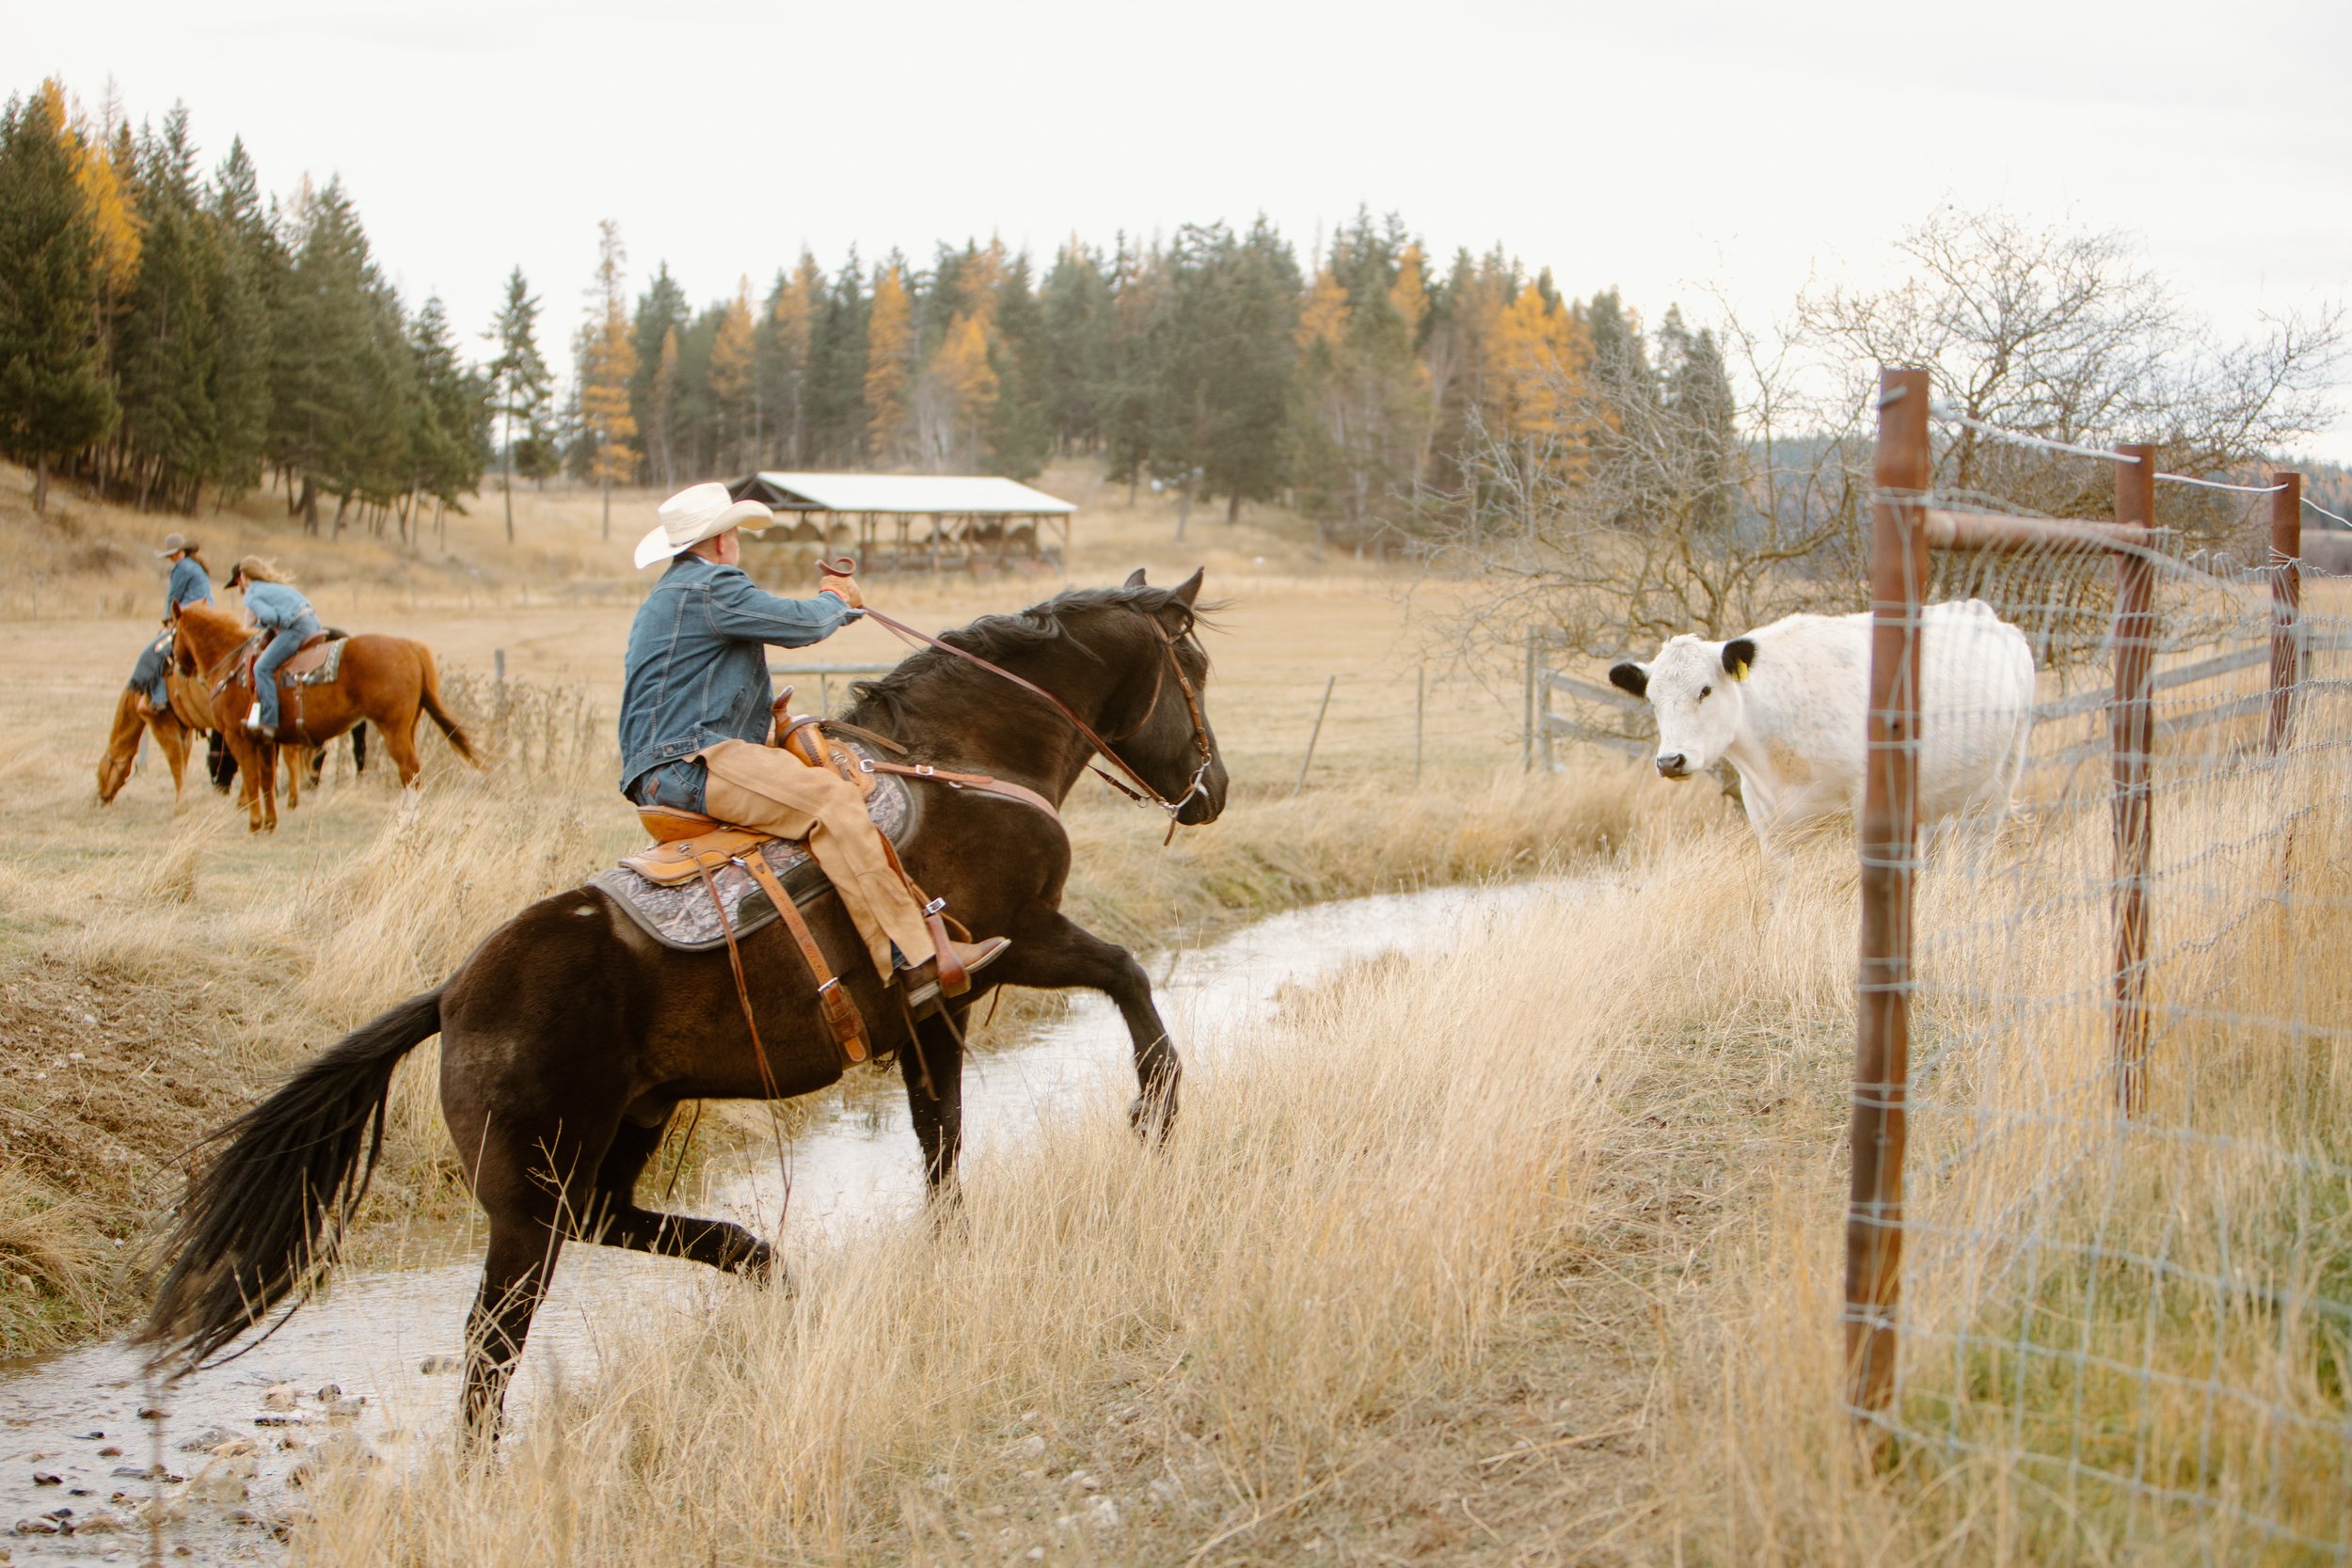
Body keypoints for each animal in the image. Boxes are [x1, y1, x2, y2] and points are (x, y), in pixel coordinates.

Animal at [170, 596, 477, 832]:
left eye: (172, 634)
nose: (180, 667)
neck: (233, 664)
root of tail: (409, 646)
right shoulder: (265, 741)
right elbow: (267, 779)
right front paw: (270, 823)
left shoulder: (239, 737)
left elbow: (252, 778)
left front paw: (255, 824)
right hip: (407, 728)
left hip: (393, 731)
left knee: (410, 773)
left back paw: (407, 822)